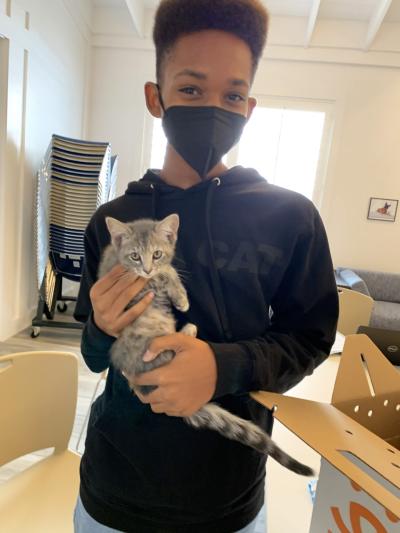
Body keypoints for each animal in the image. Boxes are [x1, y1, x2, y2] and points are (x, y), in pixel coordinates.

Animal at [98, 214, 314, 476]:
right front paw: (181, 297)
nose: (147, 268)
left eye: (157, 254)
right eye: (135, 256)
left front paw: (178, 293)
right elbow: (166, 273)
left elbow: (167, 270)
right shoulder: (131, 283)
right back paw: (189, 330)